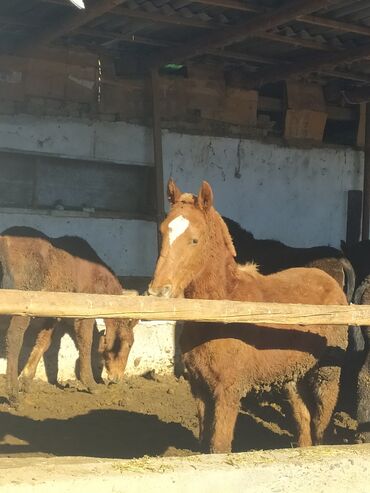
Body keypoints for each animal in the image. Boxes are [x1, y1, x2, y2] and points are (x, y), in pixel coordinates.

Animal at [0, 227, 136, 404]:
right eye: (129, 344)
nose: (117, 377)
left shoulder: (52, 315)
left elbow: (44, 343)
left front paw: (27, 381)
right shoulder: (85, 312)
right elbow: (86, 343)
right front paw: (90, 383)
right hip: (22, 304)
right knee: (14, 337)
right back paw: (13, 393)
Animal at [149, 180, 348, 454]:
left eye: (194, 240)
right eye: (162, 232)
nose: (158, 291)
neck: (223, 309)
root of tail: (329, 280)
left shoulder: (228, 390)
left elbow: (219, 446)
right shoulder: (199, 388)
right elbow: (205, 445)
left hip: (327, 372)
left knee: (321, 420)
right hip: (293, 375)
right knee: (303, 417)